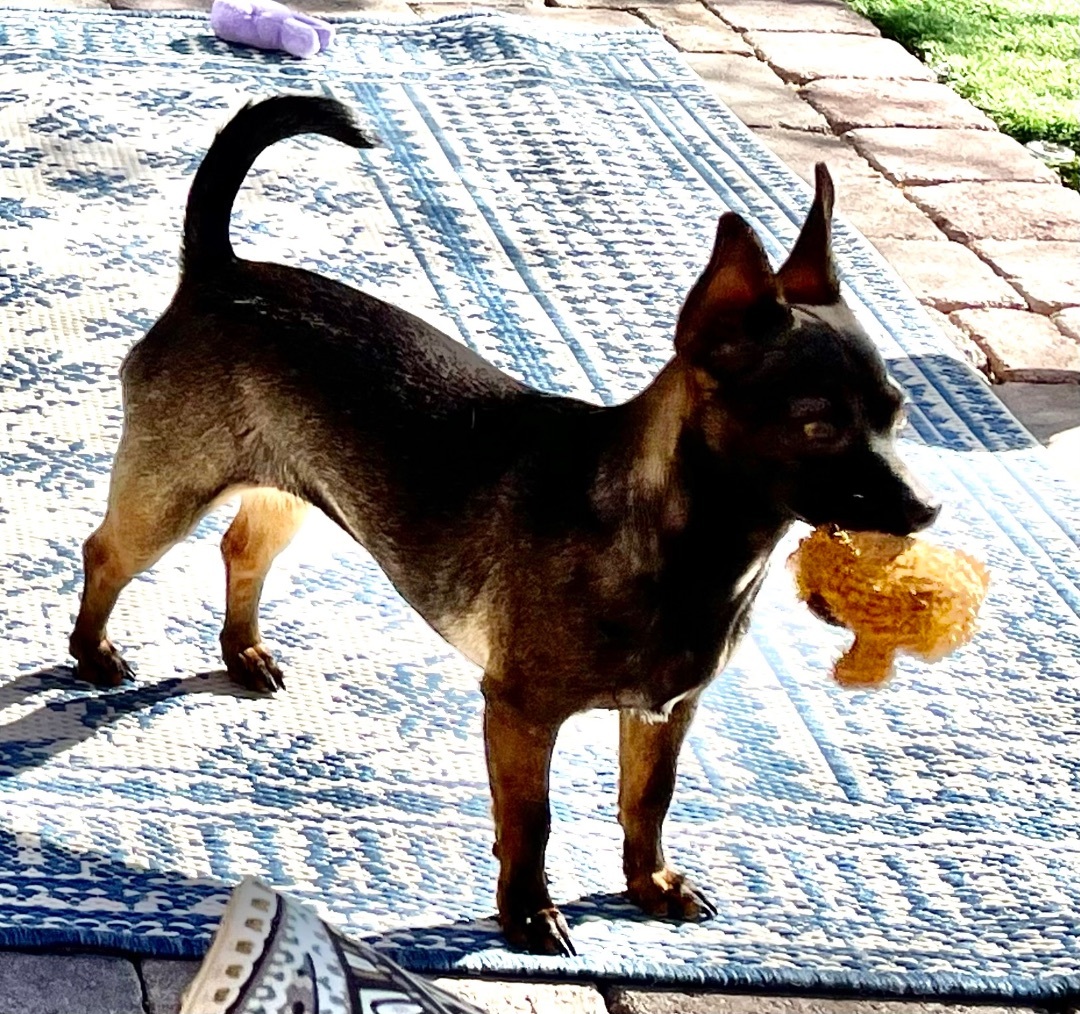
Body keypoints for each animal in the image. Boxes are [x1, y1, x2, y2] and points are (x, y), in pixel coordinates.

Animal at [71, 95, 941, 958]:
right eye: (818, 427)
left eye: (896, 416)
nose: (928, 509)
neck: (693, 553)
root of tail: (219, 272)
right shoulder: (522, 715)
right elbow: (532, 820)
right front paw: (526, 912)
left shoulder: (663, 715)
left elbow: (647, 804)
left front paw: (649, 885)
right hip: (166, 498)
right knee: (105, 556)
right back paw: (92, 652)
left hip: (291, 493)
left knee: (241, 551)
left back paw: (242, 651)